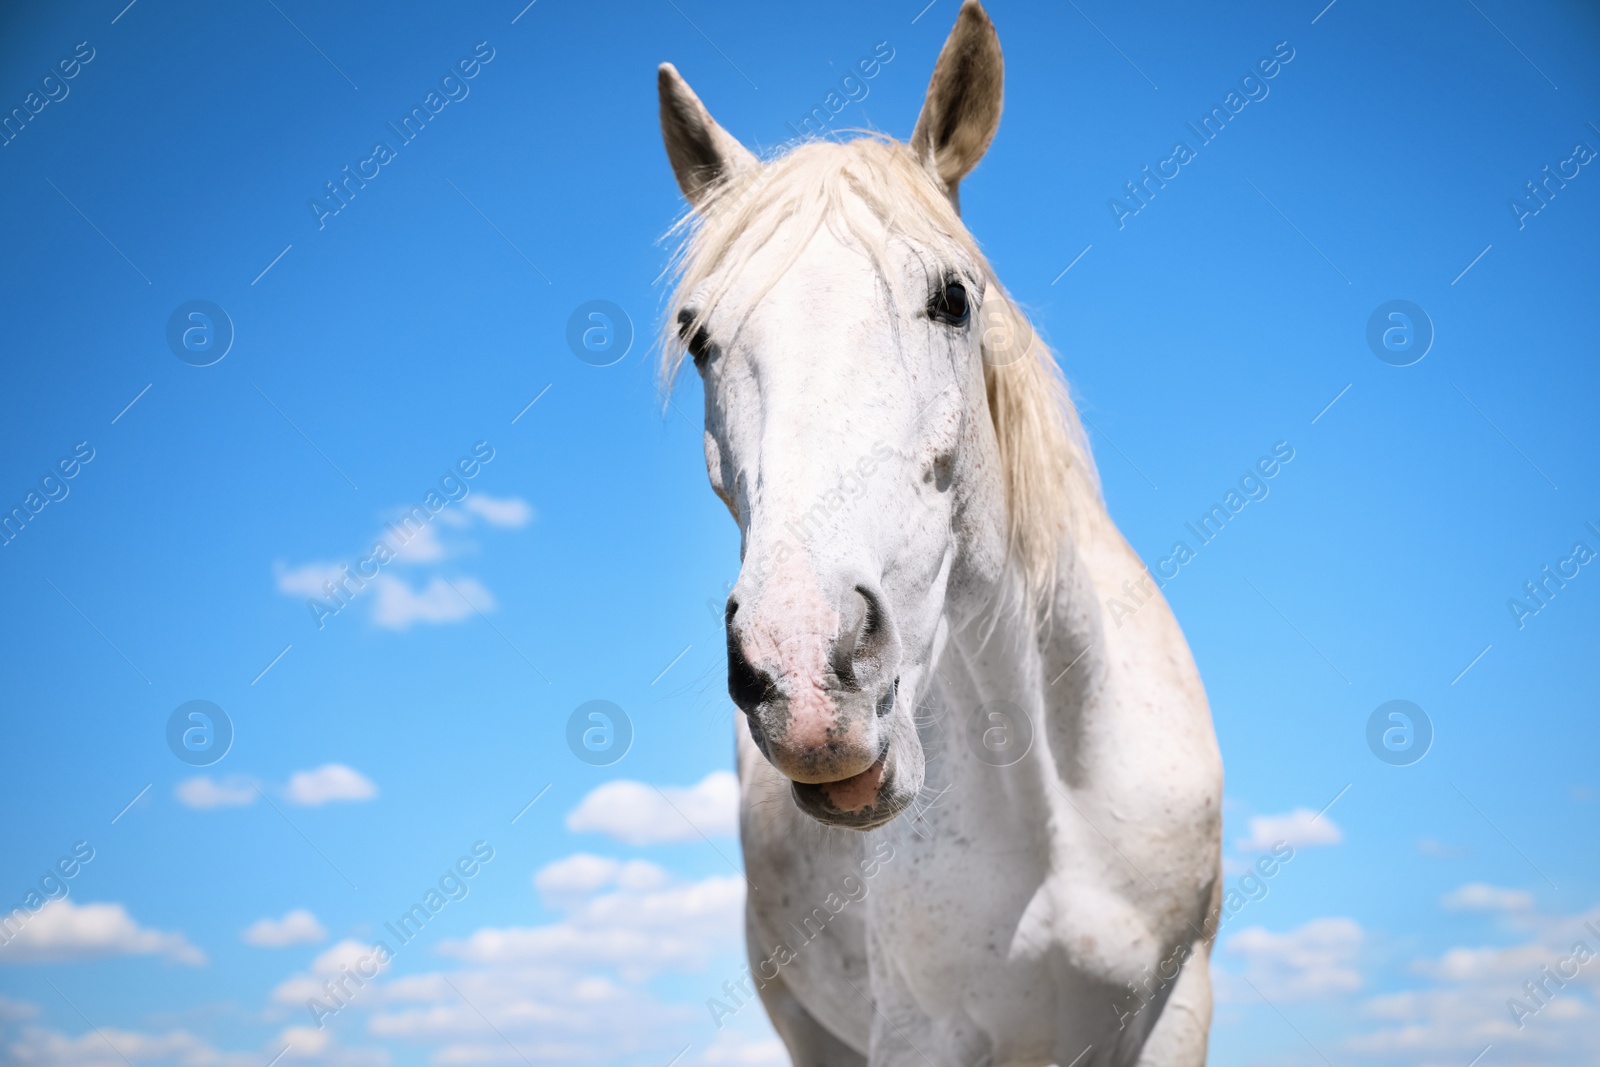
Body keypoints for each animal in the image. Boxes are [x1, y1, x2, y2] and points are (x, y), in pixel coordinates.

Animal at [656, 4, 1216, 1062]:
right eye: (699, 336)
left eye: (954, 298)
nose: (806, 675)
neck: (1052, 805)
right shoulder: (915, 1033)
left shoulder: (1177, 1009)